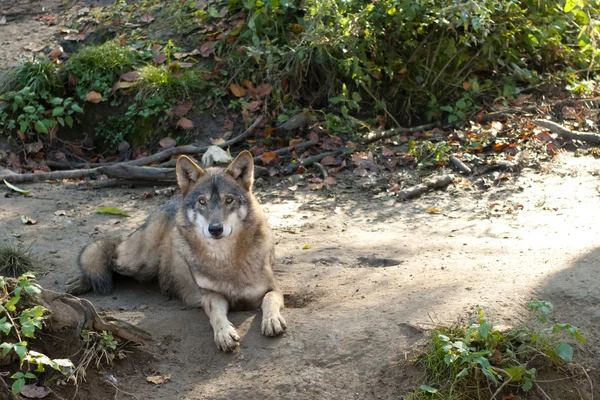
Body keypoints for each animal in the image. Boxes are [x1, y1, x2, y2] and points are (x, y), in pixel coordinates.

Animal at [67, 152, 288, 352]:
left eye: (229, 200)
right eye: (202, 202)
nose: (215, 229)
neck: (225, 260)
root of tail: (168, 204)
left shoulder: (273, 289)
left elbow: (269, 300)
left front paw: (272, 320)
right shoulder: (210, 295)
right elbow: (217, 315)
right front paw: (224, 334)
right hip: (140, 263)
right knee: (108, 254)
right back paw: (78, 284)